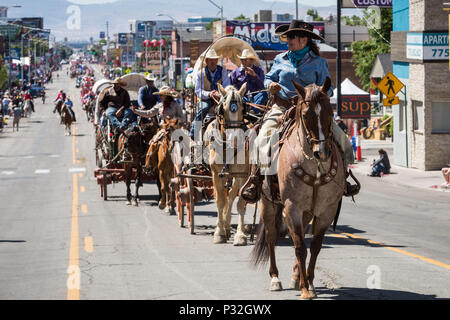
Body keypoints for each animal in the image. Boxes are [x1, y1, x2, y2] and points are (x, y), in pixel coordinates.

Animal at [251, 78, 346, 300]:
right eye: (305, 115)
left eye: (330, 112)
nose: (322, 153)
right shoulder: (291, 206)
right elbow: (300, 247)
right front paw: (304, 289)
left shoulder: (326, 210)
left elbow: (315, 246)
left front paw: (308, 282)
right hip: (268, 203)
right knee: (271, 236)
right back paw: (275, 278)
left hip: (307, 211)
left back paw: (295, 276)